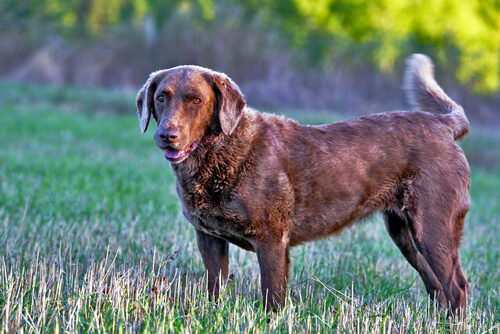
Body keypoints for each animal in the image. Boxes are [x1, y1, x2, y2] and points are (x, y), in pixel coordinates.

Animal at [136, 54, 468, 314]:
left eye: (197, 100)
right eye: (161, 97)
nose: (167, 135)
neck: (222, 152)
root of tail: (444, 125)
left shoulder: (271, 240)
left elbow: (272, 297)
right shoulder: (208, 238)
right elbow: (214, 290)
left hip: (433, 228)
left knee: (457, 287)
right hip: (404, 234)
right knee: (436, 286)